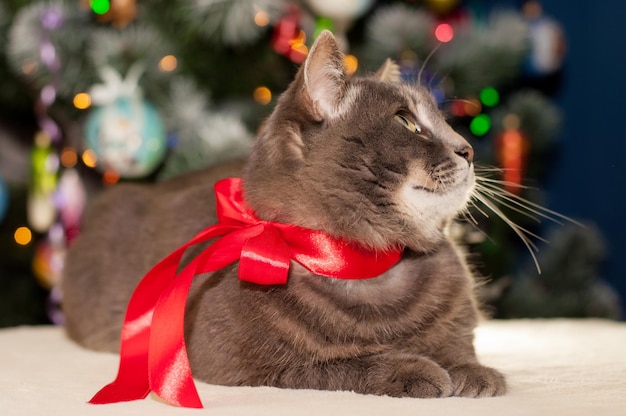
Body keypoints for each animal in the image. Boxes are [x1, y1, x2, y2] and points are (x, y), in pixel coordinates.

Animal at [61, 30, 504, 398]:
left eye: (442, 120)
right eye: (405, 121)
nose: (468, 149)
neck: (362, 265)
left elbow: (458, 346)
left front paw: (471, 370)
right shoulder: (243, 366)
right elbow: (337, 366)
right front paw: (411, 369)